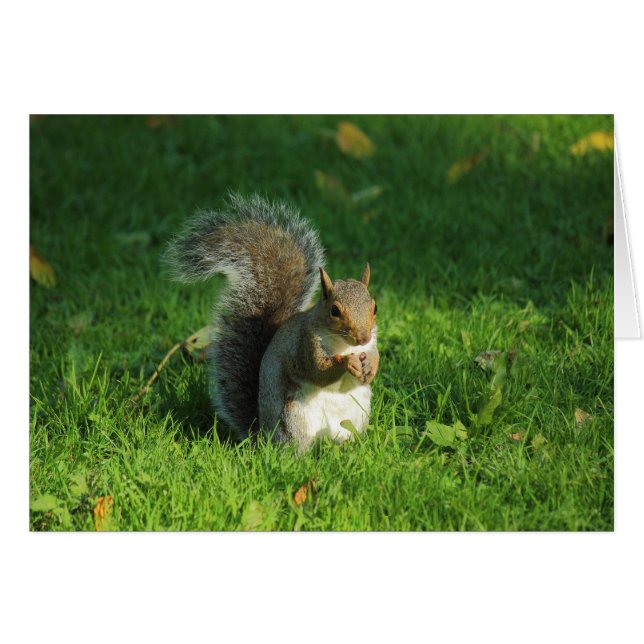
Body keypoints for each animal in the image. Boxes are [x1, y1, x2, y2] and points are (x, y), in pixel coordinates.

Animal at [165, 193, 379, 450]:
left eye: (375, 307)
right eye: (335, 311)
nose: (363, 337)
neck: (344, 344)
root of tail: (263, 436)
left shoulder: (372, 342)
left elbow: (374, 356)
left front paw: (371, 367)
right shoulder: (304, 345)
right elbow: (318, 371)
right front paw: (348, 363)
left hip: (355, 415)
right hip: (293, 417)